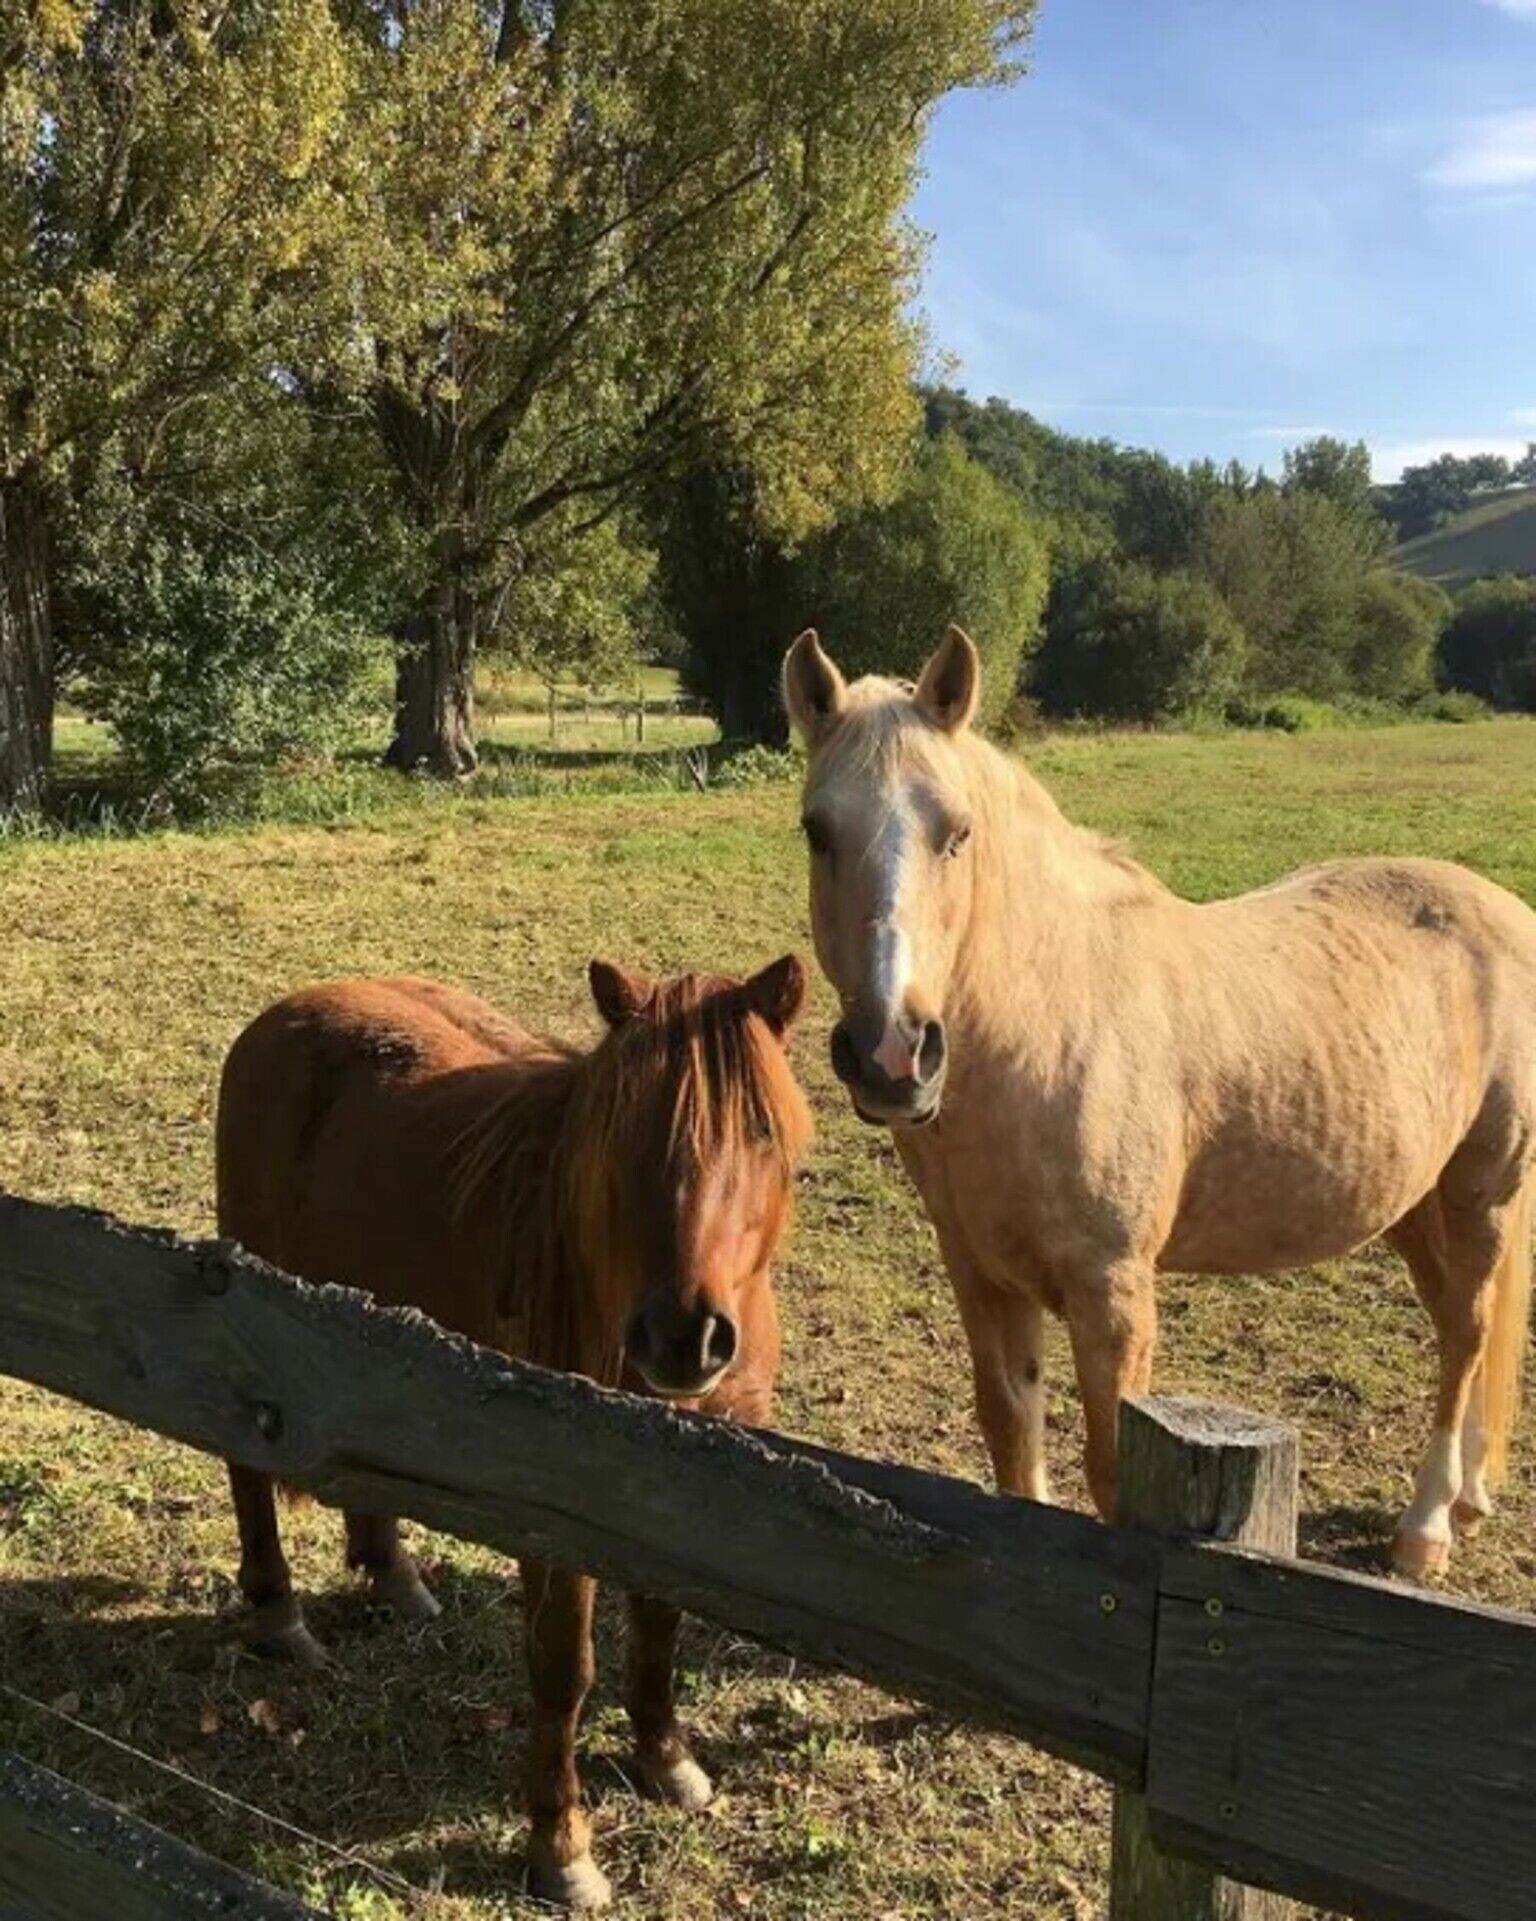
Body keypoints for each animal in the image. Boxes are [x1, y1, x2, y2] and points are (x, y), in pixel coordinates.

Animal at [215, 958, 812, 1911]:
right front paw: (560, 1846)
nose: (683, 1336)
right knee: (246, 1469)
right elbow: (563, 1666)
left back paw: (395, 1576)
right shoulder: (551, 1506)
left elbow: (661, 1622)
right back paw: (281, 1615)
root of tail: (285, 1014)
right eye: (621, 1128)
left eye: (761, 1130)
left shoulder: (689, 1497)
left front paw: (666, 1758)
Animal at [783, 623, 1536, 1578]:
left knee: (1469, 1330)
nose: (891, 1052)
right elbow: (1012, 1444)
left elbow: (1111, 1474)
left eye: (958, 832)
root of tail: (1503, 910)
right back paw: (1470, 1496)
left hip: (1485, 1187)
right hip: (1411, 1198)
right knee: (1453, 1326)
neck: (1049, 1020)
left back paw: (1428, 1524)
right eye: (817, 830)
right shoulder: (982, 1276)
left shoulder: (1114, 1295)